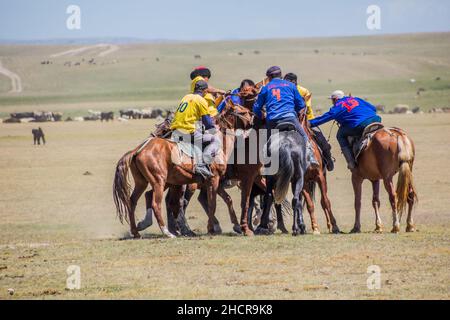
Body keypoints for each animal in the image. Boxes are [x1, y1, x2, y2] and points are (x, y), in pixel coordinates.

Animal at [112, 100, 253, 238]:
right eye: (243, 112)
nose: (253, 119)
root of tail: (139, 149)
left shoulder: (213, 182)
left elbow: (226, 200)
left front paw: (236, 226)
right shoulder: (213, 180)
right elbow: (212, 204)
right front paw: (211, 228)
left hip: (144, 182)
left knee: (133, 201)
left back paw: (137, 231)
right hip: (159, 181)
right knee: (156, 203)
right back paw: (167, 232)